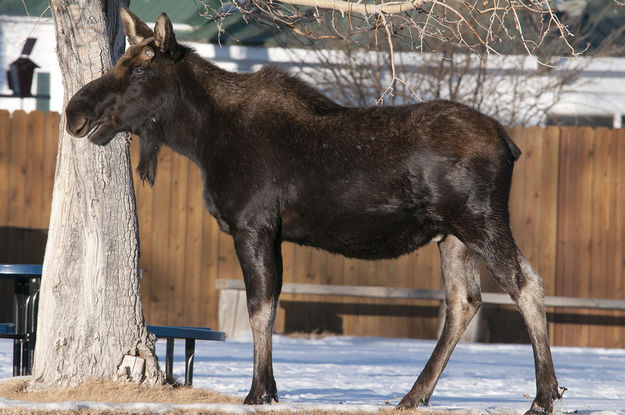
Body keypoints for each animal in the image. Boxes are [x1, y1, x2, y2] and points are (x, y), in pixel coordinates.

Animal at [66, 8, 564, 414]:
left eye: (140, 69)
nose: (74, 110)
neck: (202, 138)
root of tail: (510, 144)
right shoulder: (273, 232)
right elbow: (268, 306)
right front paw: (270, 389)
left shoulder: (253, 224)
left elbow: (259, 309)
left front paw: (256, 392)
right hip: (453, 234)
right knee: (464, 301)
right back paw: (413, 396)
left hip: (480, 220)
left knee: (527, 284)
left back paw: (543, 397)